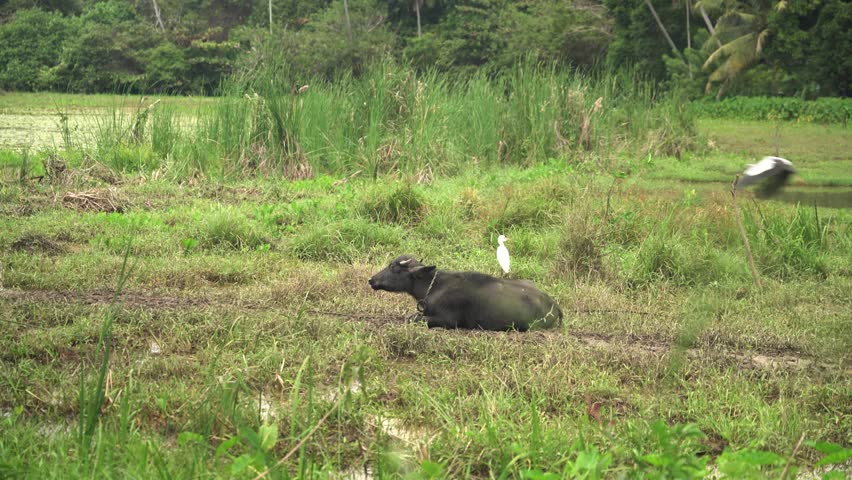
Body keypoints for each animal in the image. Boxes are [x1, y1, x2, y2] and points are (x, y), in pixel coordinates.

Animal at [368, 255, 563, 331]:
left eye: (394, 268)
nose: (371, 280)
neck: (435, 286)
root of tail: (554, 304)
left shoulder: (448, 320)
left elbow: (412, 318)